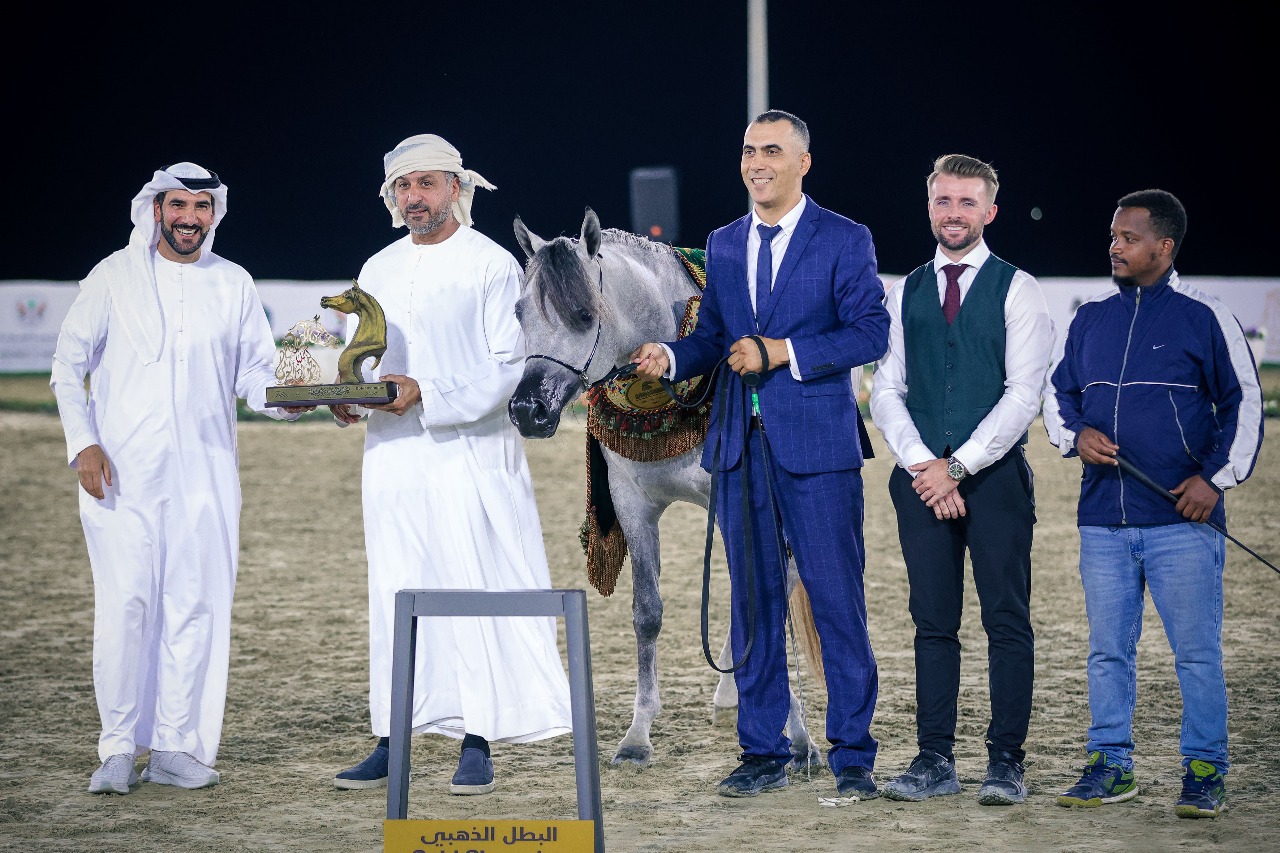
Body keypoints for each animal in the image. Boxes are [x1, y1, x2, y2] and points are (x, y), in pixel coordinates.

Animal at [506, 208, 819, 768]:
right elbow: (647, 613)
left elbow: (767, 601)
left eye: (583, 314)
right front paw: (637, 734)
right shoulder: (633, 506)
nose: (528, 410)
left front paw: (798, 732)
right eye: (520, 312)